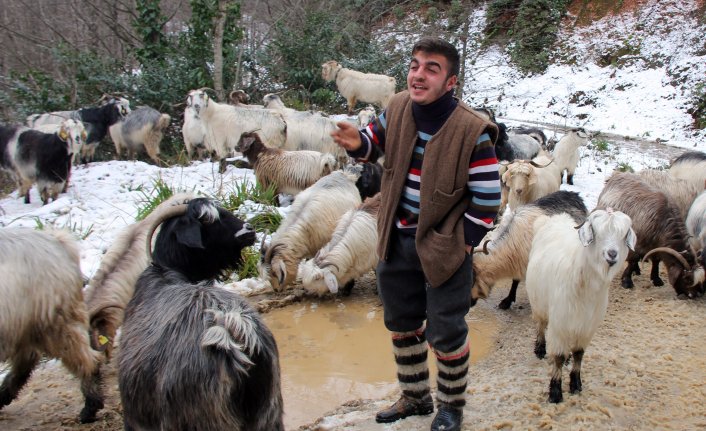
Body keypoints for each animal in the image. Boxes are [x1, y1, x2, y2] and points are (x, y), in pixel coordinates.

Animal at [0, 228, 104, 424]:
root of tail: (58, 241)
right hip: (27, 324)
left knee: (88, 360)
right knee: (28, 359)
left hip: (54, 321)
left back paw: (90, 407)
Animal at [524, 209, 636, 404]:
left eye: (623, 235)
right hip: (539, 303)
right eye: (597, 233)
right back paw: (540, 348)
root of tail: (553, 219)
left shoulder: (587, 327)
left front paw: (576, 384)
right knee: (540, 324)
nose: (612, 254)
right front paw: (555, 392)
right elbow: (558, 357)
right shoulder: (560, 323)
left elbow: (579, 354)